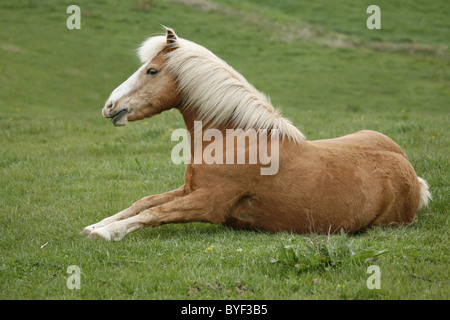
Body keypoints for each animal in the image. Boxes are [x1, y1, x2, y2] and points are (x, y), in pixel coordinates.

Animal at [81, 28, 432, 241]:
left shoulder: (208, 202)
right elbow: (144, 202)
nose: (110, 106)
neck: (231, 139)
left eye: (152, 70)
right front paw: (97, 224)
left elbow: (155, 212)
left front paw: (105, 233)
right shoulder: (189, 189)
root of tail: (413, 176)